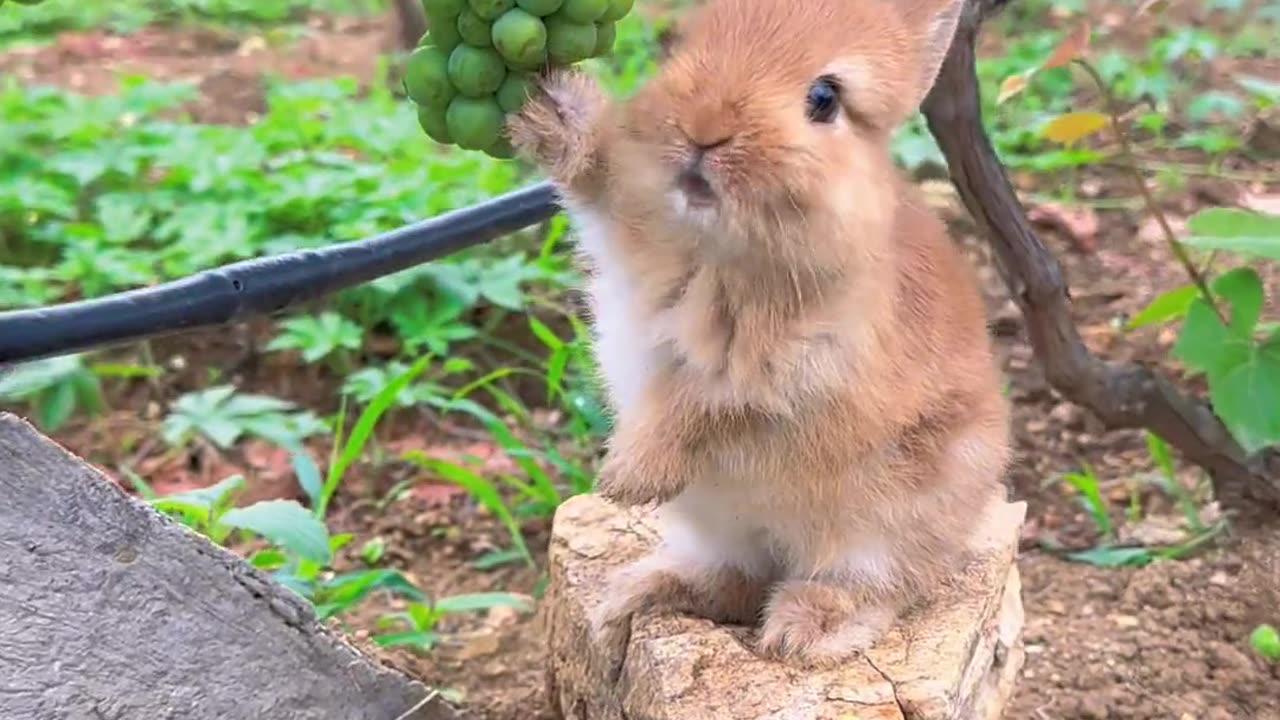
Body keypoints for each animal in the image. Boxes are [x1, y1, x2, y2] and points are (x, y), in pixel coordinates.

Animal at [504, 0, 1013, 666]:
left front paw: (627, 479)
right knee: (737, 581)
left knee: (878, 585)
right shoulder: (625, 220)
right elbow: (591, 172)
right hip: (718, 524)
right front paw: (547, 106)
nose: (704, 129)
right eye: (680, 44)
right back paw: (645, 593)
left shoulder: (794, 368)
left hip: (890, 519)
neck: (715, 243)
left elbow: (702, 405)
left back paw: (802, 632)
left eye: (824, 98)